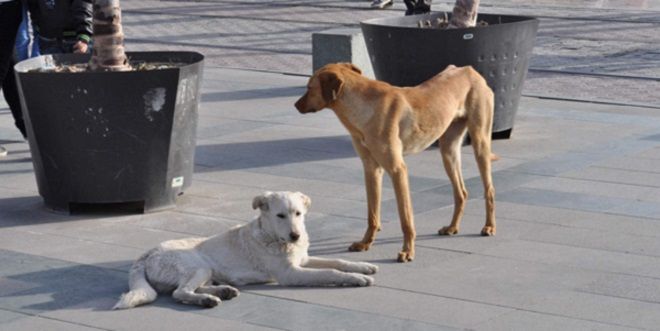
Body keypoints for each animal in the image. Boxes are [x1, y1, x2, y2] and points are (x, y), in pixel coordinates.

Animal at [114, 191, 376, 310]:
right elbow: (331, 272)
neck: (274, 237)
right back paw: (208, 300)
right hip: (198, 266)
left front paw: (363, 267)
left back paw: (223, 291)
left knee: (186, 289)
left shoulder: (303, 260)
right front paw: (357, 278)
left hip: (206, 271)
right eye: (280, 215)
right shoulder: (291, 273)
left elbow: (338, 262)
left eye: (298, 214)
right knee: (180, 292)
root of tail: (146, 255)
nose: (296, 236)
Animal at [296, 63, 496, 264]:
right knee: (461, 192)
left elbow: (406, 218)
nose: (296, 105)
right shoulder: (371, 169)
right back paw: (452, 227)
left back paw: (489, 226)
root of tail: (469, 70)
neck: (365, 107)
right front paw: (365, 243)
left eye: (309, 87)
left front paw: (408, 251)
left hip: (480, 143)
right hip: (448, 150)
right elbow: (372, 214)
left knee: (489, 190)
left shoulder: (397, 170)